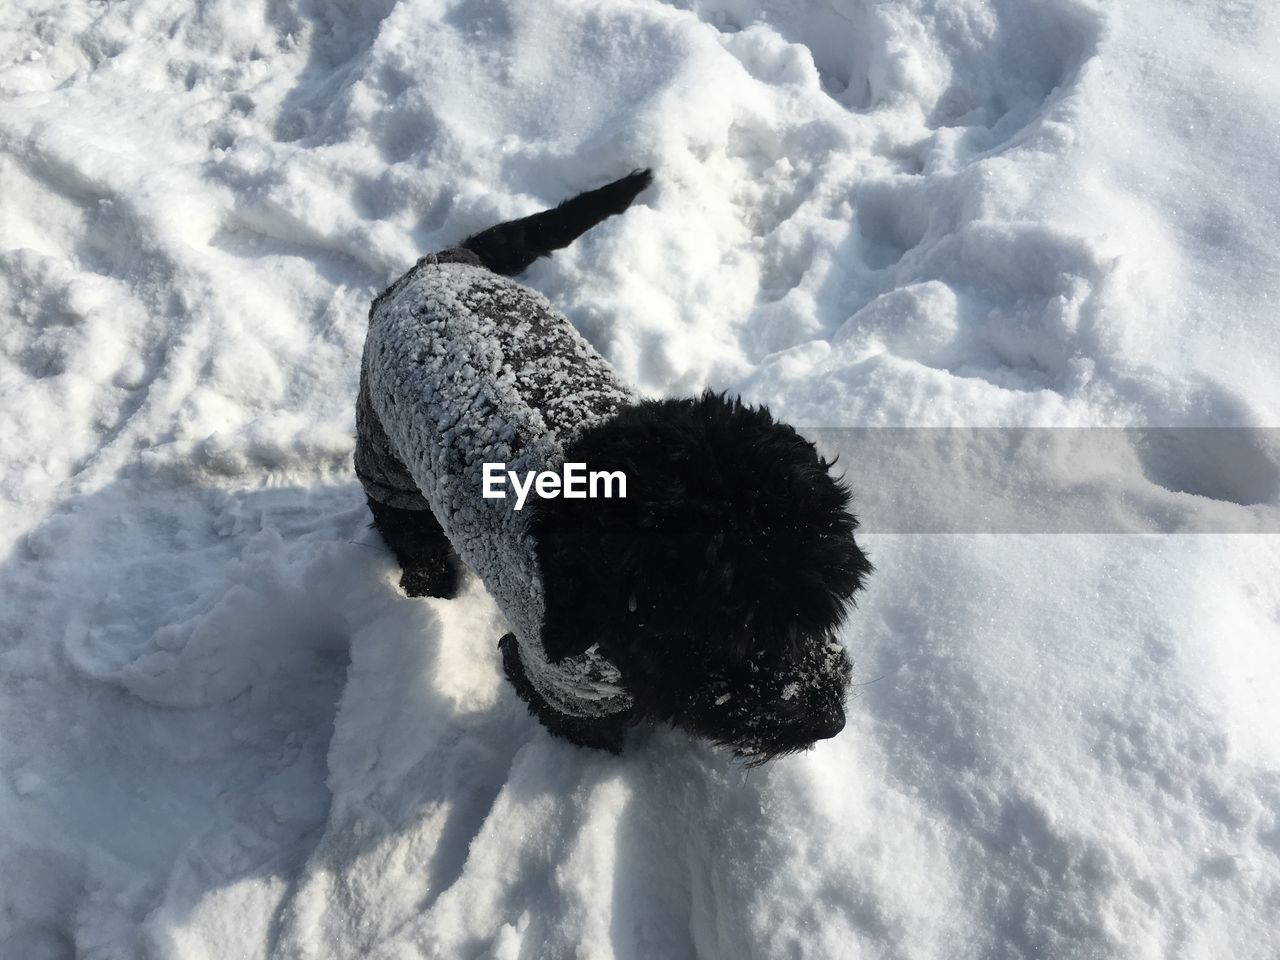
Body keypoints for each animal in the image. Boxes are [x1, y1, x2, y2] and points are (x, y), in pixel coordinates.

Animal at [355, 168, 875, 762]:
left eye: (823, 611)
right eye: (736, 632)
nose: (831, 721)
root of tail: (437, 263)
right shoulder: (562, 685)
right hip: (383, 448)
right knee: (403, 521)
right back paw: (429, 580)